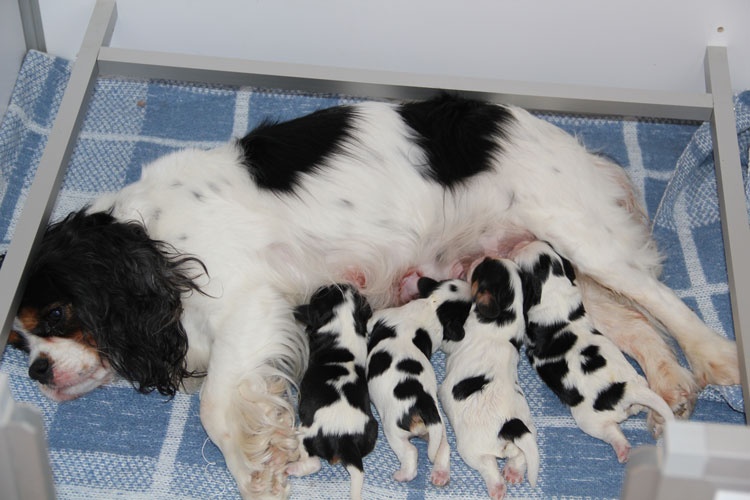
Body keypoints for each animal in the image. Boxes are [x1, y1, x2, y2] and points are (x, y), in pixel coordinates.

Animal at [290, 284, 382, 498]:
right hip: (372, 431)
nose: (338, 284)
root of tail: (345, 438)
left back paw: (293, 467)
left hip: (305, 432)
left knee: (313, 461)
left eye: (320, 293)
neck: (344, 321)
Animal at [364, 278, 470, 484]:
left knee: (410, 452)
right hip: (439, 430)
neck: (433, 305)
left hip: (394, 431)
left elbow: (370, 322)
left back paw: (403, 474)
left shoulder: (381, 316)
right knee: (443, 448)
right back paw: (440, 475)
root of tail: (424, 405)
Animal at [440, 262, 540, 500]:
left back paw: (497, 487)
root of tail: (510, 426)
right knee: (522, 456)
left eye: (480, 268)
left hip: (472, 450)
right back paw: (513, 473)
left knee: (489, 467)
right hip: (529, 432)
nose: (470, 263)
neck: (503, 318)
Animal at [516, 240, 676, 462]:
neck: (555, 295)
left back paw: (622, 449)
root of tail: (626, 391)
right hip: (640, 383)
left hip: (589, 420)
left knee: (611, 432)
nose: (525, 242)